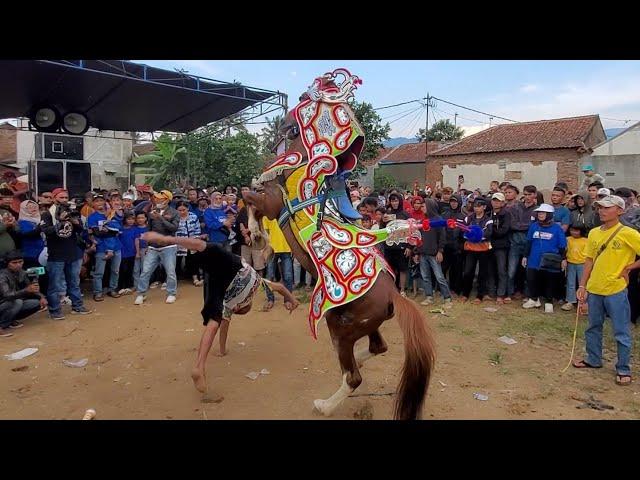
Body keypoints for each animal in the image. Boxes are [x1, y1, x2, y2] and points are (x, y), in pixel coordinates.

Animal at [244, 68, 436, 420]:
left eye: (292, 119)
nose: (278, 137)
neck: (307, 168)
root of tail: (394, 295)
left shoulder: (273, 201)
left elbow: (248, 196)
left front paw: (257, 234)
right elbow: (248, 196)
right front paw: (258, 235)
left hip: (339, 325)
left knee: (353, 377)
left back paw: (324, 404)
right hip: (364, 325)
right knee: (377, 348)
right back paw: (358, 362)